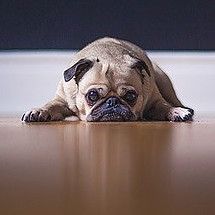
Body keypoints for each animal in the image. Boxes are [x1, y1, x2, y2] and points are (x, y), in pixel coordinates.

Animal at [21, 37, 193, 122]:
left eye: (130, 96)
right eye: (92, 95)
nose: (112, 101)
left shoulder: (155, 100)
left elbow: (164, 106)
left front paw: (176, 111)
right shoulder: (61, 100)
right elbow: (50, 105)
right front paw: (39, 111)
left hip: (163, 80)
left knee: (173, 100)